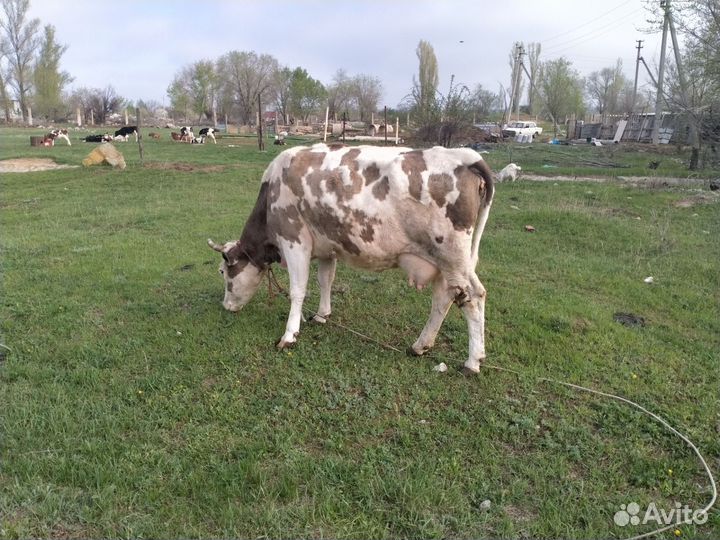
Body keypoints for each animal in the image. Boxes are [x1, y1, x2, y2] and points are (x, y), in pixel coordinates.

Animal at [208, 143, 495, 374]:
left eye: (224, 272)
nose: (226, 306)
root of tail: (464, 155)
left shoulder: (294, 240)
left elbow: (297, 290)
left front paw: (289, 335)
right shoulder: (327, 246)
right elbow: (325, 280)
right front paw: (322, 315)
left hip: (453, 257)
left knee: (472, 297)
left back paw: (472, 362)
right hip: (446, 263)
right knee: (444, 298)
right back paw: (420, 345)